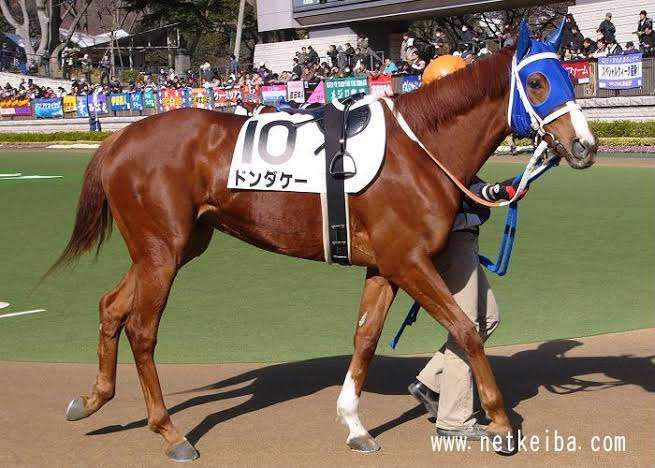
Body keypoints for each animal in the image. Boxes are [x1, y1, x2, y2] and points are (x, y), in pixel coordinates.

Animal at [53, 21, 595, 461]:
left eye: (570, 77)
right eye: (537, 82)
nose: (585, 146)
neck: (418, 149)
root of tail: (118, 141)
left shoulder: (385, 266)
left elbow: (366, 337)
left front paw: (355, 424)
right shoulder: (409, 261)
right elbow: (466, 330)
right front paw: (501, 422)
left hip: (174, 247)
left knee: (111, 306)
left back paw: (93, 398)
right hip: (162, 251)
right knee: (142, 330)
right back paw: (170, 432)